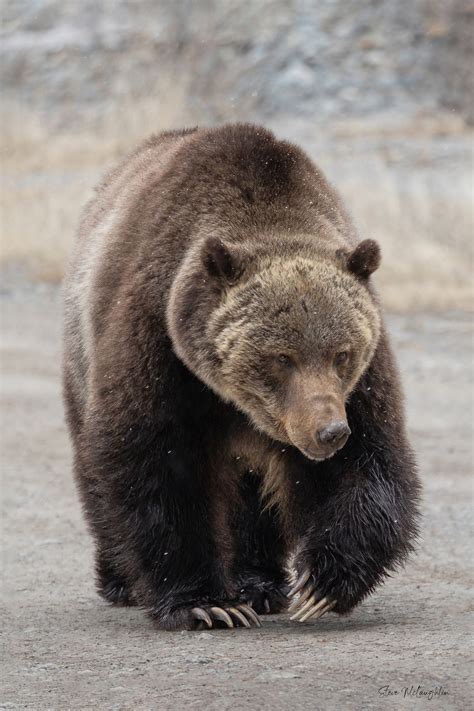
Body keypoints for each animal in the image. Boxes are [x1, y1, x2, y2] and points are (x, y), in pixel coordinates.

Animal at [62, 125, 418, 632]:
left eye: (342, 353)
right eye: (282, 357)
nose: (329, 432)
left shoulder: (362, 382)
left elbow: (368, 461)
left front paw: (321, 584)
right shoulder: (159, 344)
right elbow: (160, 461)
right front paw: (206, 603)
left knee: (253, 495)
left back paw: (259, 582)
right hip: (82, 356)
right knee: (95, 468)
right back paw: (121, 580)